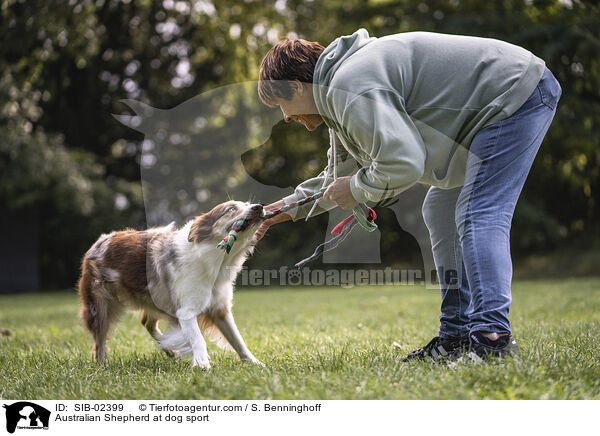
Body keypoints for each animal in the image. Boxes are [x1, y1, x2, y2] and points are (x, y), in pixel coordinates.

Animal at [76, 201, 264, 368]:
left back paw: (168, 349)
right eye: (231, 209)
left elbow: (237, 340)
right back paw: (102, 364)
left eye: (247, 204)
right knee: (99, 342)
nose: (259, 207)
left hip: (155, 299)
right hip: (100, 308)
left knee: (146, 322)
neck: (215, 260)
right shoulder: (186, 311)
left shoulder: (220, 310)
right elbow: (198, 339)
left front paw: (255, 363)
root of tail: (100, 240)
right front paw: (201, 363)